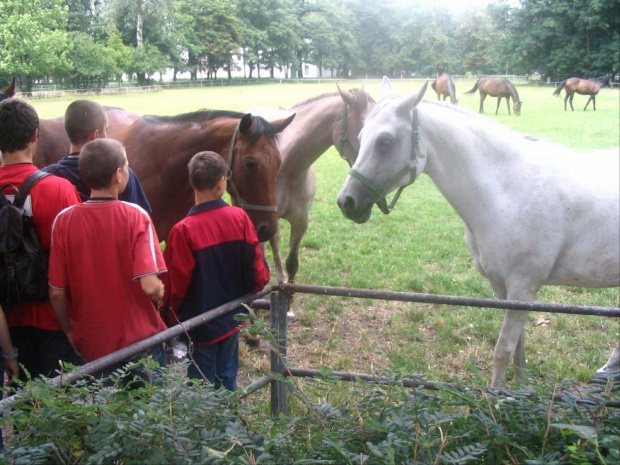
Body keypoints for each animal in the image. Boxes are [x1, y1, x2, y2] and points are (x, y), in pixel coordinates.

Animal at [340, 77, 620, 388]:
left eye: (385, 141)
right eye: (361, 135)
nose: (346, 202)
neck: (508, 191)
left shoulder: (523, 287)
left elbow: (503, 351)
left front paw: (498, 397)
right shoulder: (503, 286)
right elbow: (519, 349)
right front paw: (520, 390)